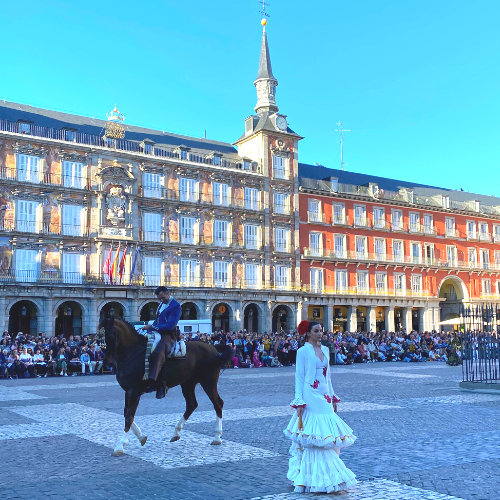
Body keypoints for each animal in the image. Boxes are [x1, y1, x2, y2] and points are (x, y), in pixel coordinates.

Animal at [101, 316, 236, 458]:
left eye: (112, 335)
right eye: (104, 336)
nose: (108, 362)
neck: (132, 353)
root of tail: (213, 348)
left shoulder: (134, 391)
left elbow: (129, 416)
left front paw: (120, 446)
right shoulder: (128, 391)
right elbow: (126, 413)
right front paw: (141, 437)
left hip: (208, 382)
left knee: (218, 403)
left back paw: (217, 437)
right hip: (187, 383)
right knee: (191, 404)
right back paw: (176, 433)